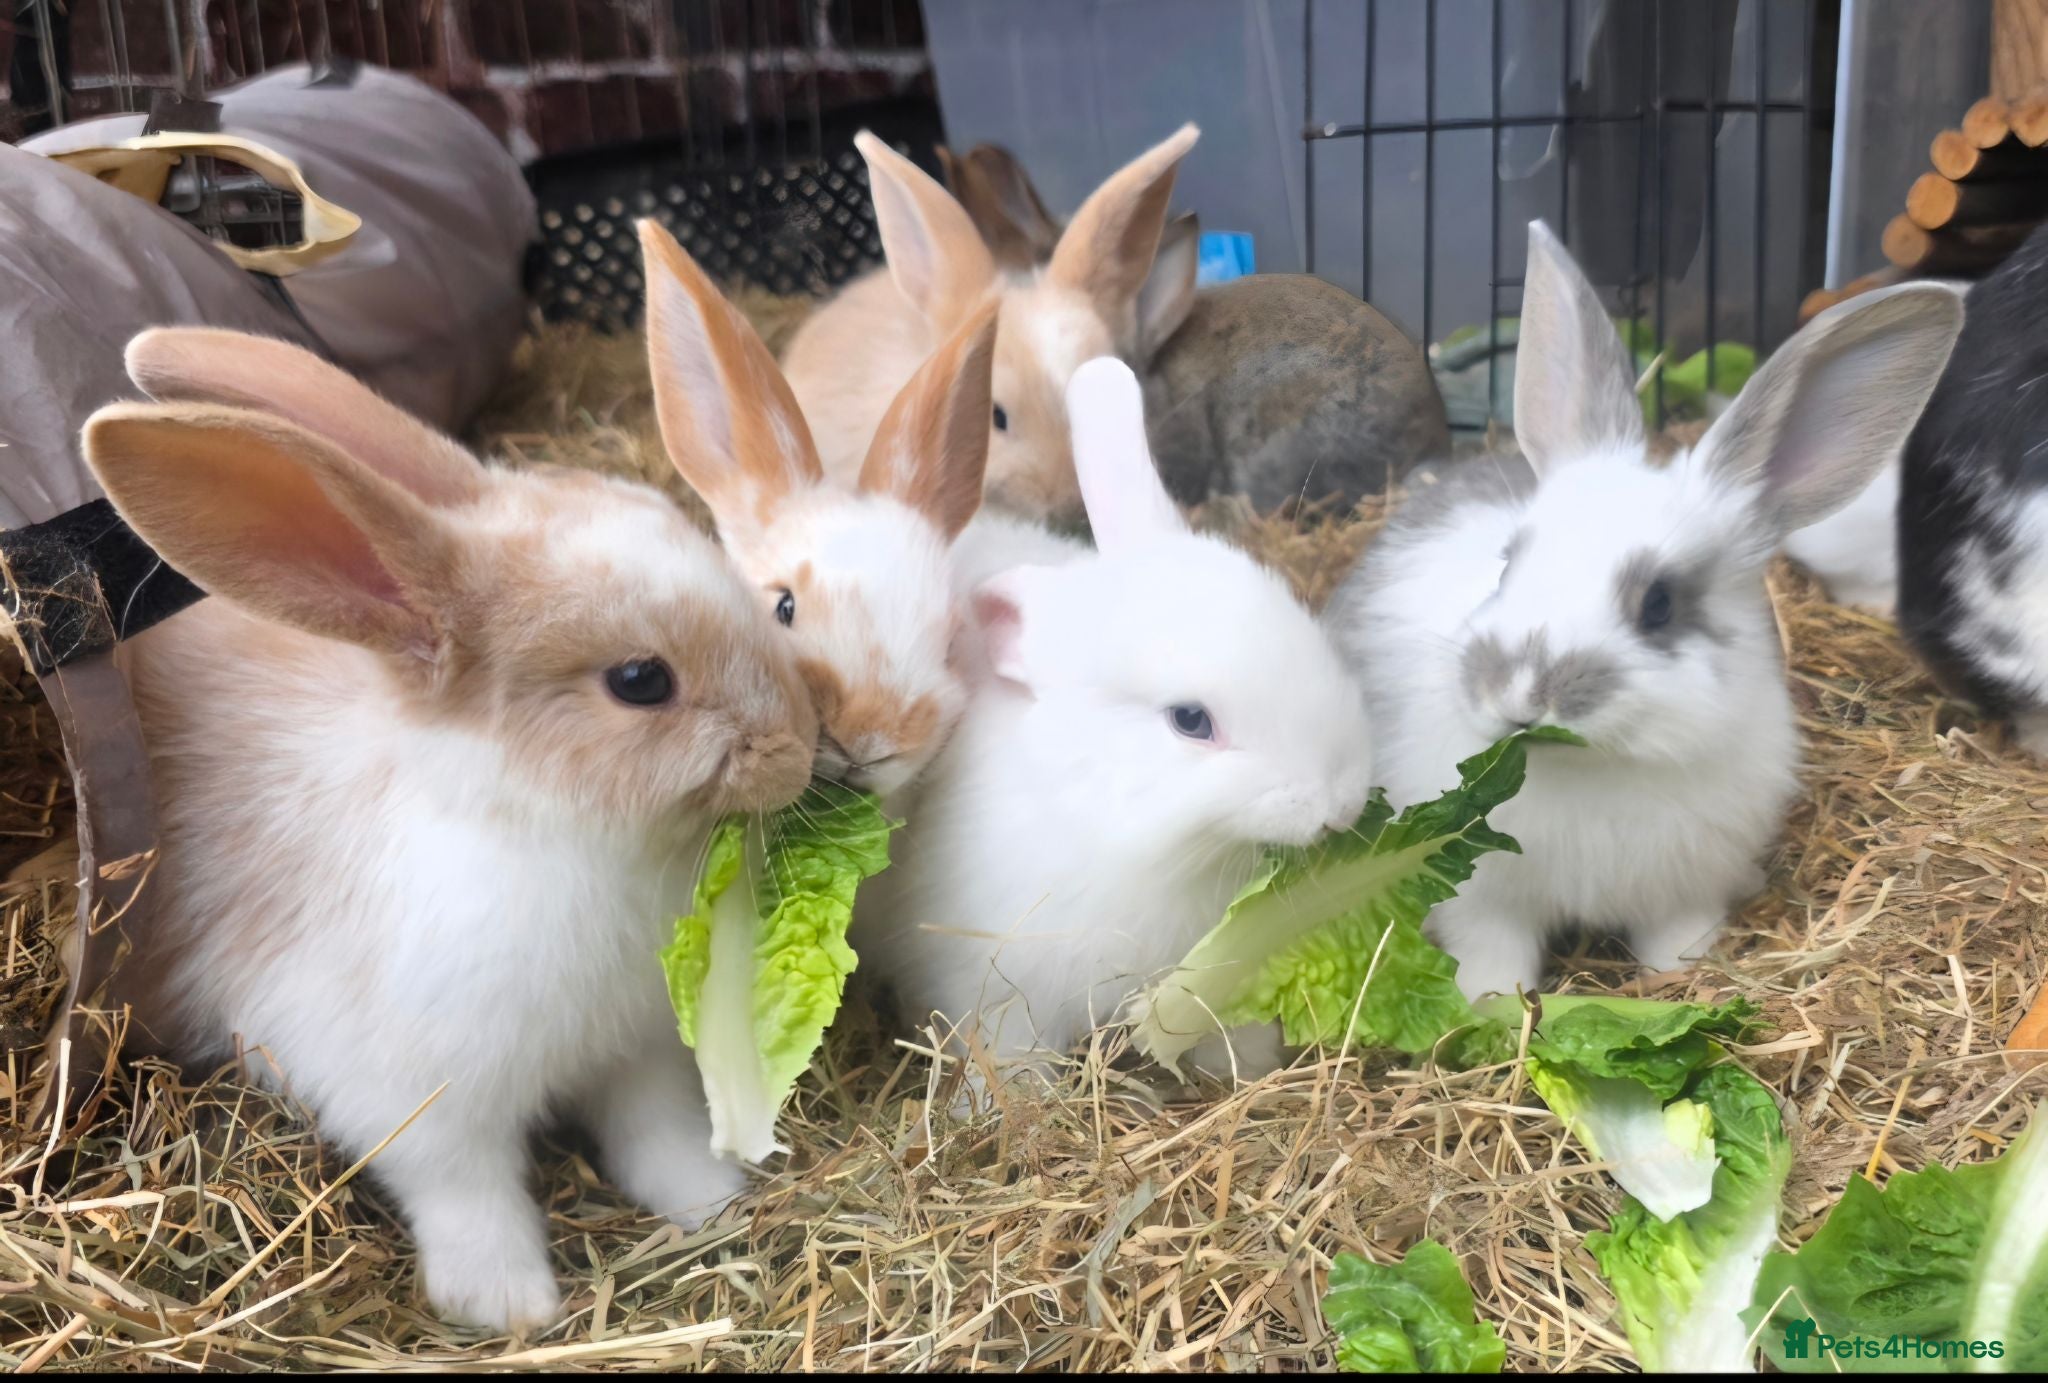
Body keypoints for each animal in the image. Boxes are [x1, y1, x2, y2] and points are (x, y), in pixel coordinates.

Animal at [84, 327, 817, 1334]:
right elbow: (466, 1192)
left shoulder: (633, 1051)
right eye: (639, 680)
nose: (802, 749)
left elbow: (656, 1130)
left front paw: (710, 1202)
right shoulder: (414, 1100)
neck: (551, 828)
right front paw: (510, 1304)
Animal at [1322, 221, 1964, 1001]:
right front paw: (1489, 1006)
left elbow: (1675, 942)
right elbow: (1494, 955)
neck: (1595, 767)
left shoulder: (1684, 892)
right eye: (1508, 563)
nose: (1519, 692)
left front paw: (1680, 979)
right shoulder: (1485, 903)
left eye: (1658, 604)